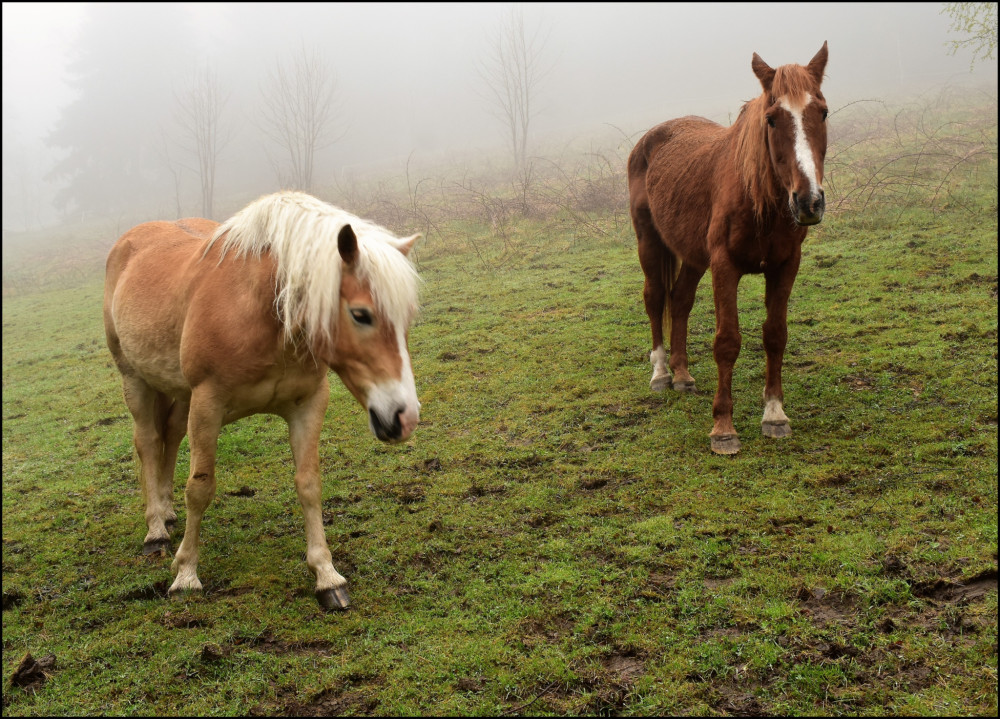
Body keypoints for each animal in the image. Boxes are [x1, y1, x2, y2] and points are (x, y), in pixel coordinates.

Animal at [104, 191, 422, 608]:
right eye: (360, 314)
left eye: (407, 317)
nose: (404, 417)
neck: (263, 312)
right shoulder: (207, 405)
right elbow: (200, 488)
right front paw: (186, 574)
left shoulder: (308, 404)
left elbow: (309, 485)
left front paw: (327, 576)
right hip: (136, 380)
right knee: (147, 442)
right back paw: (156, 530)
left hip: (178, 392)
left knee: (169, 438)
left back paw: (168, 512)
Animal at [632, 42, 828, 452]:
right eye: (771, 119)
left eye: (823, 112)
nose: (809, 202)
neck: (760, 201)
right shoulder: (725, 266)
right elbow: (726, 341)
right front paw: (723, 427)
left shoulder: (785, 265)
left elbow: (775, 335)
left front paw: (775, 415)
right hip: (650, 242)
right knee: (655, 297)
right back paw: (660, 373)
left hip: (692, 255)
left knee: (680, 301)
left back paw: (682, 375)